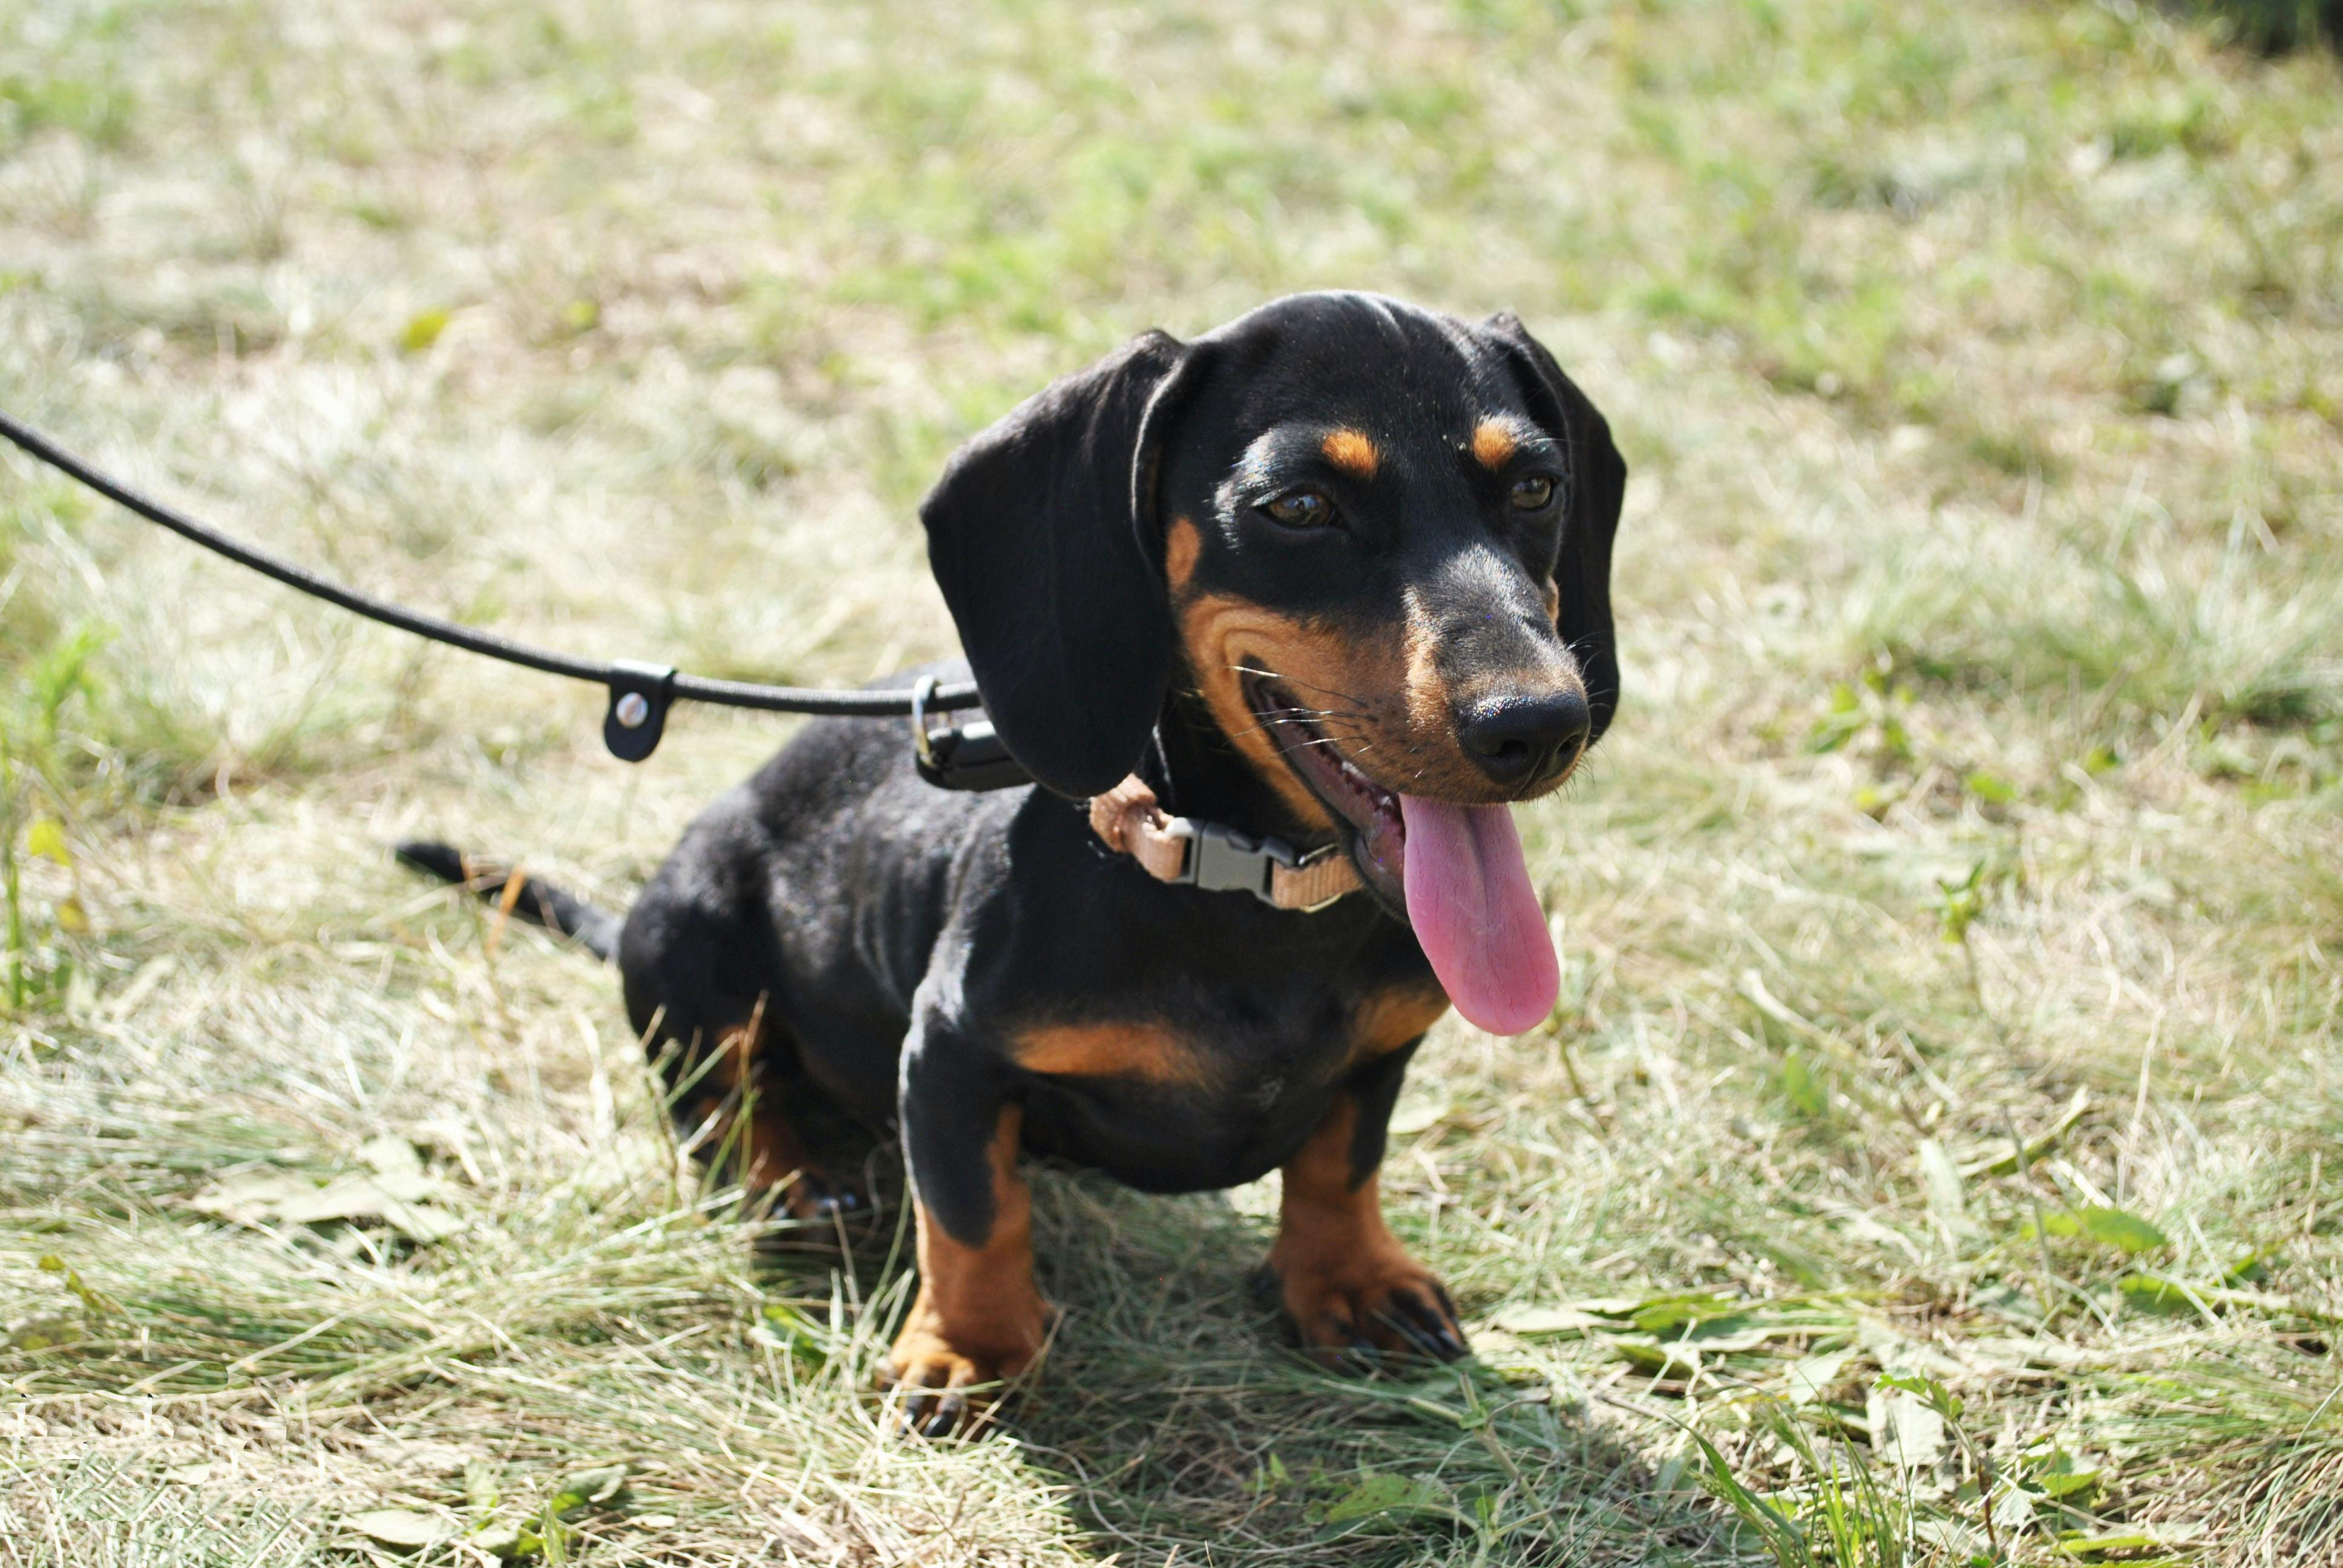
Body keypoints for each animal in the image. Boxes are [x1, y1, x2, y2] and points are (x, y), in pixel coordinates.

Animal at [402, 290, 1621, 1434]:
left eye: (1535, 487)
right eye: (1301, 508)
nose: (1540, 726)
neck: (1240, 886)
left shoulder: (1382, 1050)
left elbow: (1341, 1162)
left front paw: (1349, 1279)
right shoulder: (946, 1052)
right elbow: (973, 1215)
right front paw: (968, 1349)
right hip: (689, 940)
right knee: (720, 1095)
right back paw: (790, 1178)